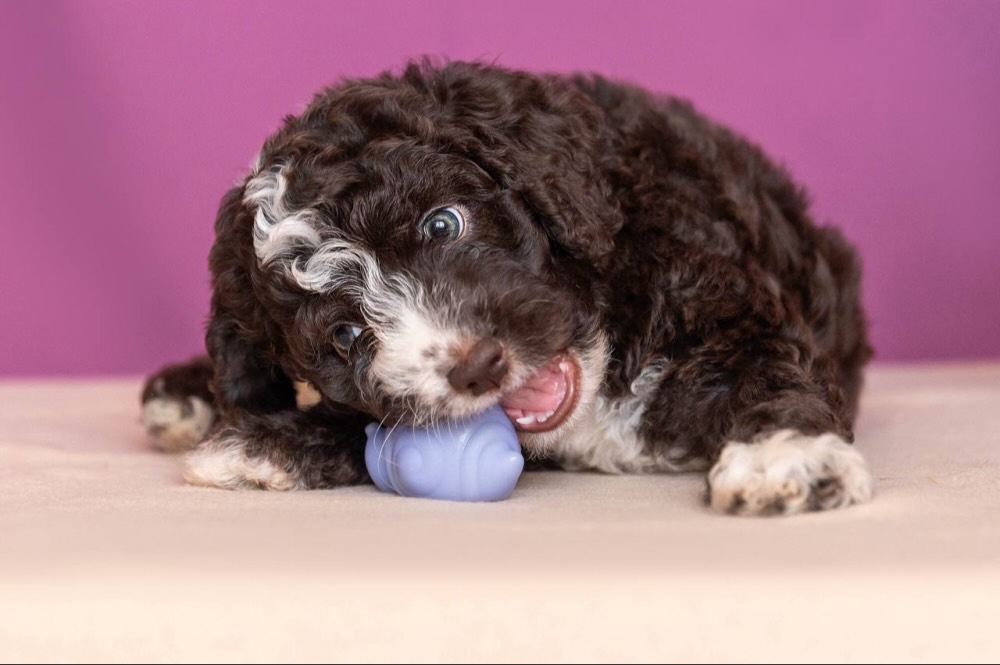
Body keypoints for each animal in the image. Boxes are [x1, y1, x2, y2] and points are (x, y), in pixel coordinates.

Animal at [142, 60, 873, 515]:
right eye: (345, 335)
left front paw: (787, 455)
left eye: (443, 222)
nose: (479, 365)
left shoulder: (740, 310)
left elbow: (775, 369)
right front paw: (269, 441)